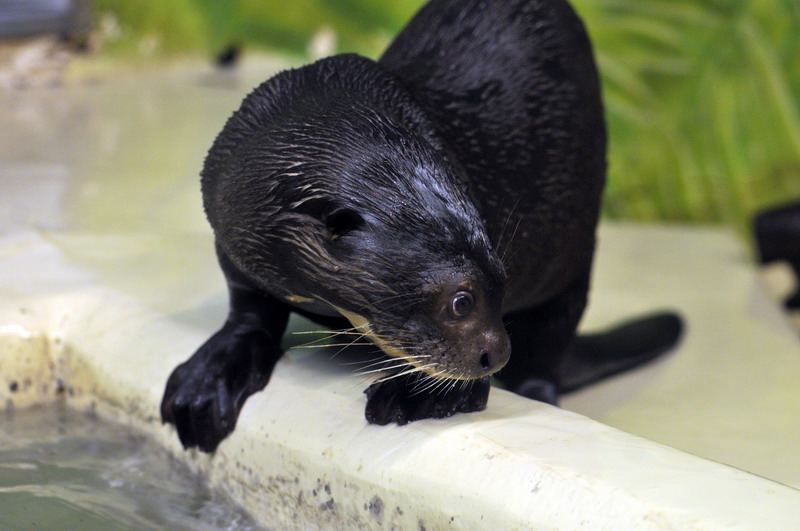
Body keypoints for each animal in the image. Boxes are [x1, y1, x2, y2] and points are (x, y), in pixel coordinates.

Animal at [161, 0, 682, 452]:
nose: (497, 354)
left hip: (573, 257)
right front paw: (207, 382)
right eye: (461, 301)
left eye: (503, 283)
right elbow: (249, 310)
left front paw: (418, 393)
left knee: (552, 338)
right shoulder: (233, 242)